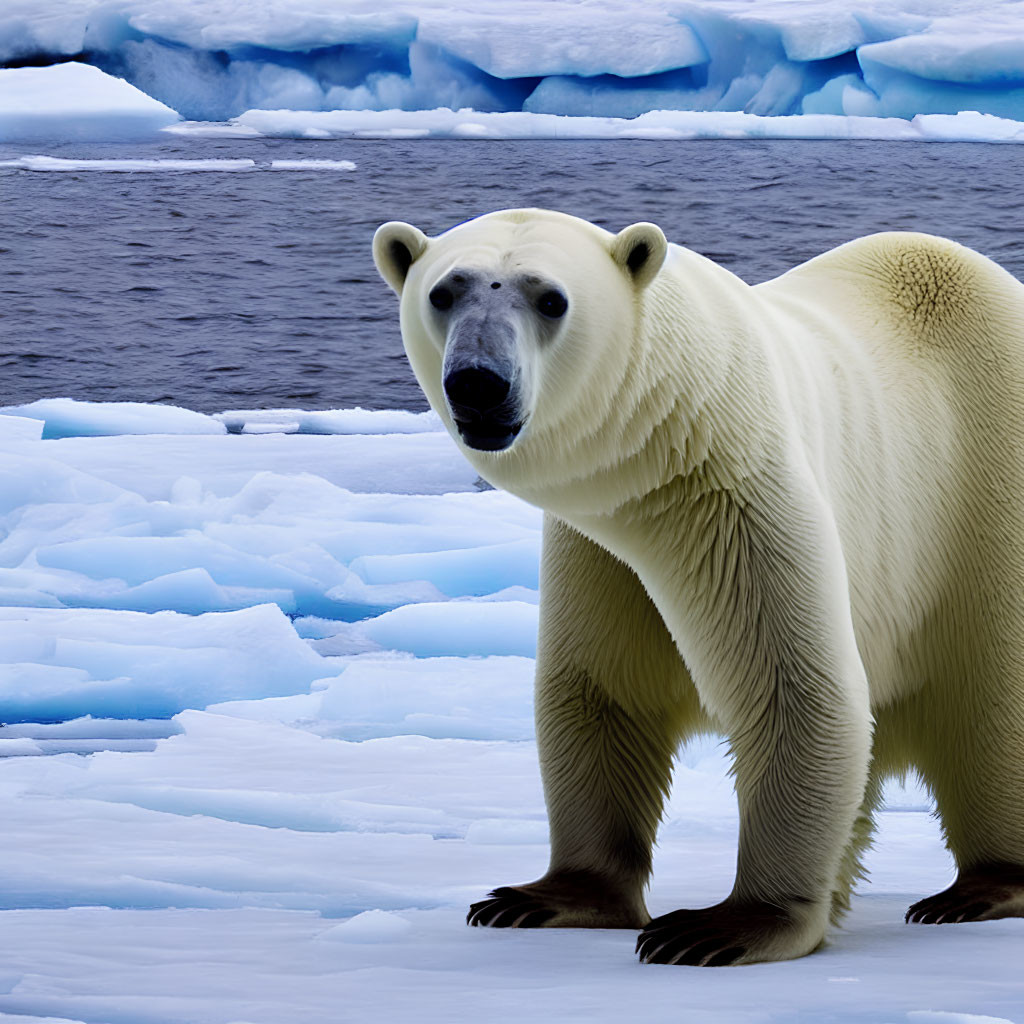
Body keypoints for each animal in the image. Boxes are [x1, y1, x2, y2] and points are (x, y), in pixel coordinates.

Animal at [372, 209, 1024, 966]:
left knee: (991, 697)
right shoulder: (600, 548)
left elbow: (794, 686)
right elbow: (601, 688)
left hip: (977, 494)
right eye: (444, 292)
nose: (478, 383)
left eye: (551, 299)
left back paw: (982, 888)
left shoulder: (739, 497)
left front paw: (722, 927)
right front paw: (541, 899)